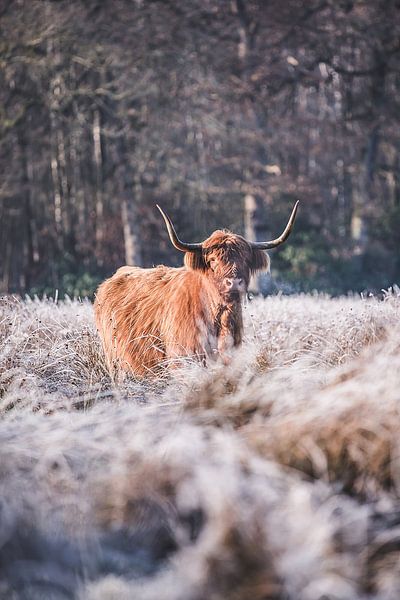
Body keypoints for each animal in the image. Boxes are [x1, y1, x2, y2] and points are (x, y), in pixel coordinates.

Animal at [95, 204, 298, 378]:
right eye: (213, 260)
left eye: (246, 260)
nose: (234, 282)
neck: (219, 316)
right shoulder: (183, 360)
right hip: (115, 362)